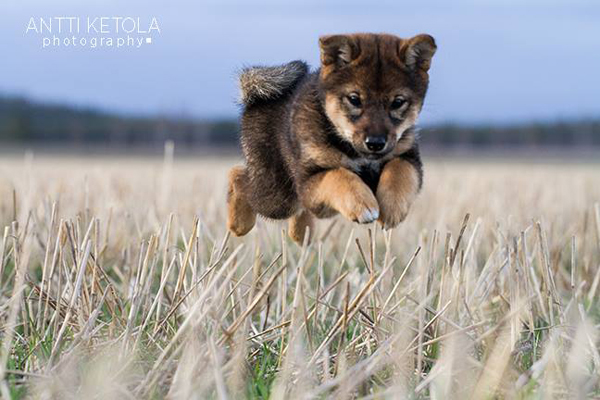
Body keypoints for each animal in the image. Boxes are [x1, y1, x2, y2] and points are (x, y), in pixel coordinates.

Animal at [226, 32, 436, 242]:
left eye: (398, 102)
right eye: (354, 99)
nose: (375, 143)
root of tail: (255, 100)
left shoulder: (408, 156)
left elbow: (399, 170)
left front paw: (392, 208)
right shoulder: (309, 178)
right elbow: (338, 176)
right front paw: (362, 204)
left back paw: (301, 233)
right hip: (278, 194)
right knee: (238, 176)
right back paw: (238, 225)